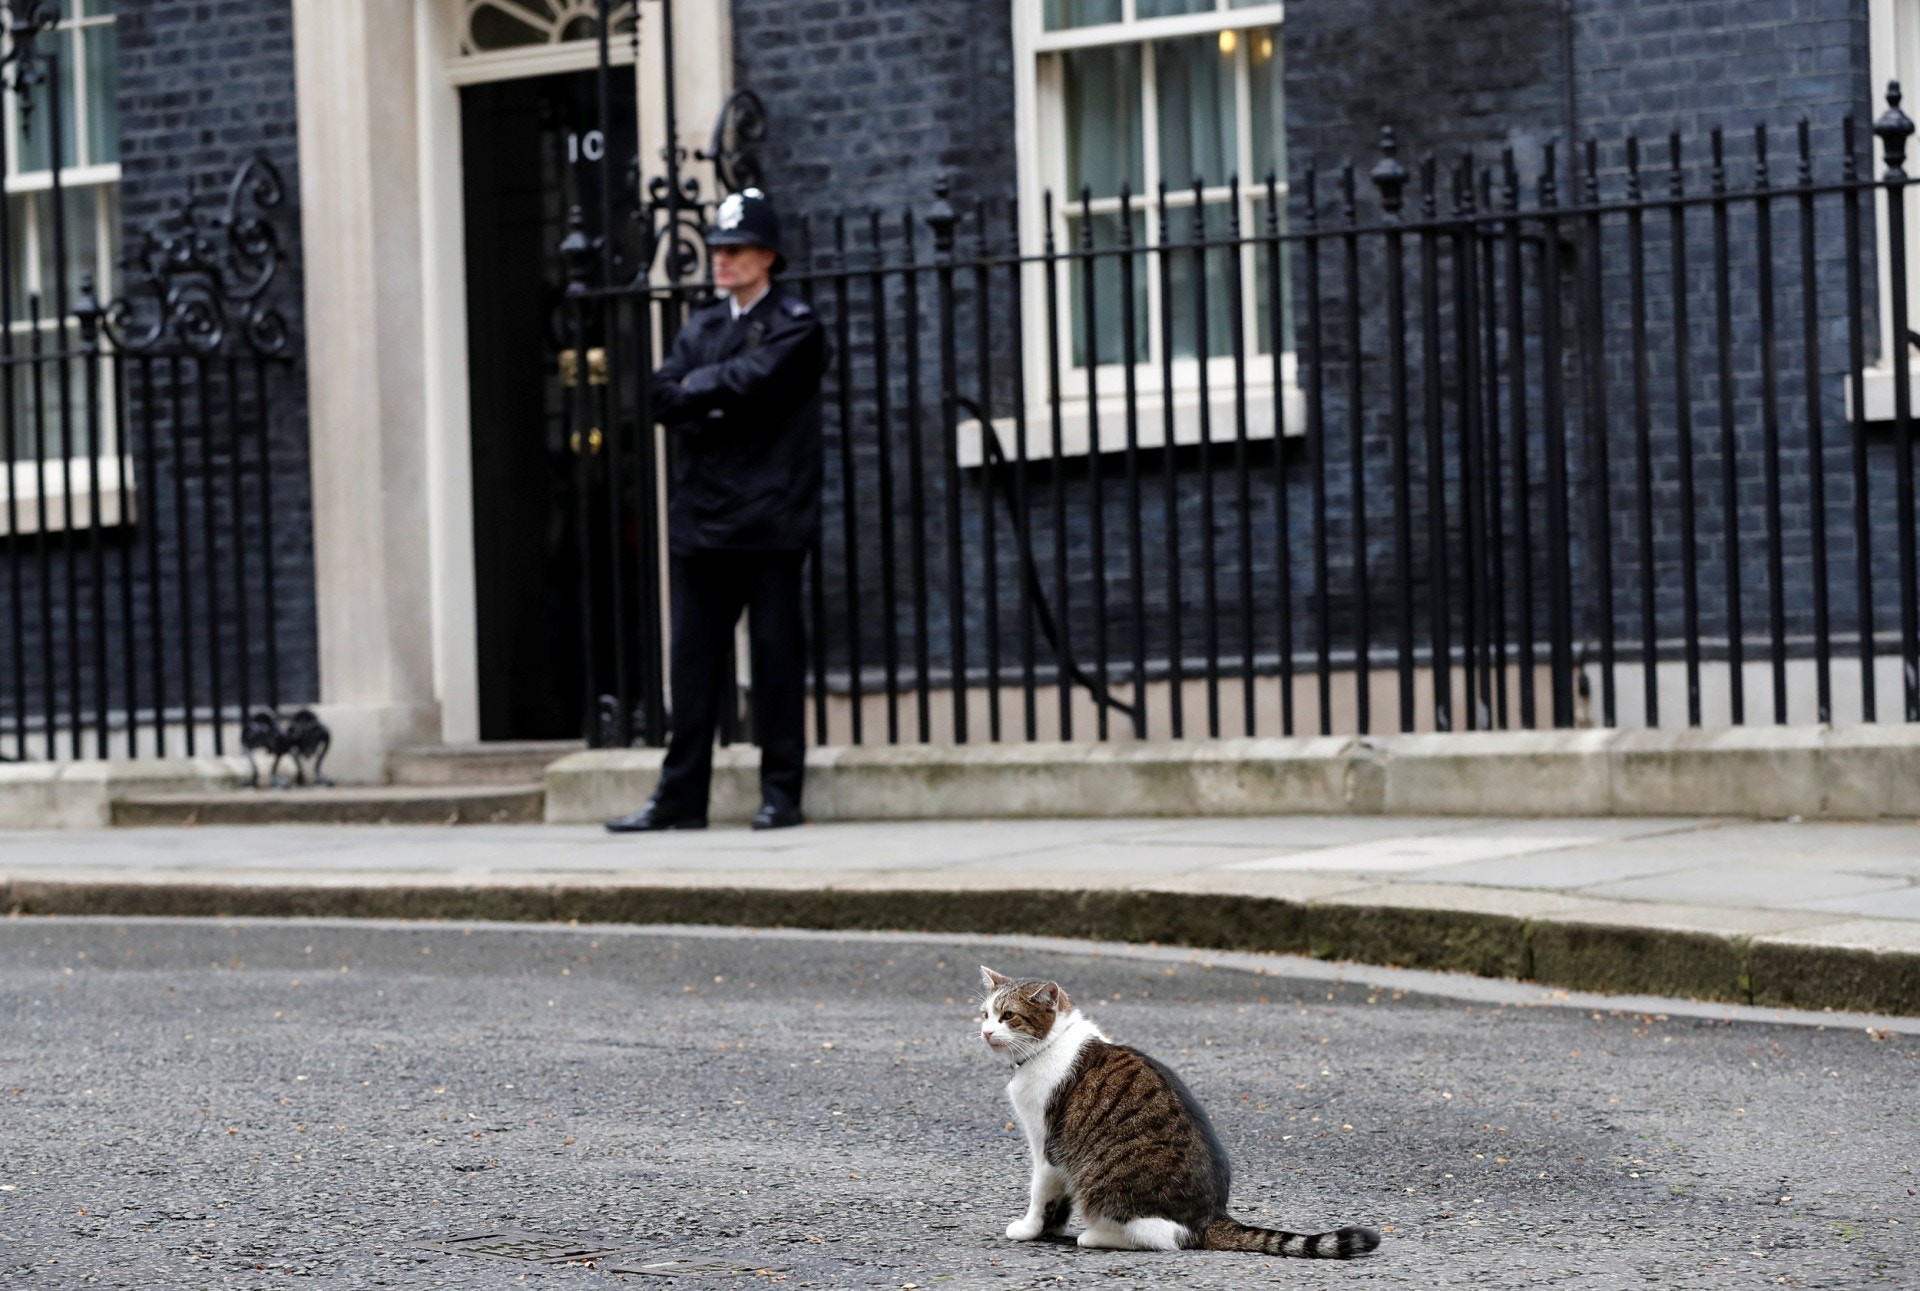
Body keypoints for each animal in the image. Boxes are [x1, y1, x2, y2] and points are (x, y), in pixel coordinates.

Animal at [983, 968, 1374, 1260]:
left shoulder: (1047, 1144)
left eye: (1008, 1016)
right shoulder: (1061, 1156)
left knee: (1165, 1238)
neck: (1052, 1045)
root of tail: (1212, 1216)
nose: (985, 1031)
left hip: (1108, 1184)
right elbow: (1058, 1200)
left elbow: (1041, 1194)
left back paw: (1096, 1236)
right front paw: (1051, 1229)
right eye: (985, 1013)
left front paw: (1030, 1229)